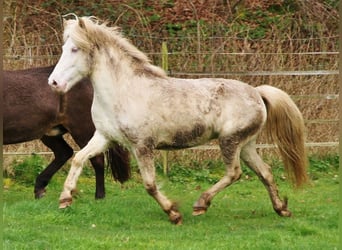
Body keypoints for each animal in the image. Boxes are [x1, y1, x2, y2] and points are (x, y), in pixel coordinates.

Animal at [3, 66, 131, 199]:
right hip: (50, 133)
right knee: (64, 152)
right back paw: (40, 189)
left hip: (82, 129)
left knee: (96, 158)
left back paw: (99, 196)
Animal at [48, 15, 308, 225]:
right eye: (64, 47)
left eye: (75, 49)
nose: (54, 83)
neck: (124, 90)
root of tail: (257, 92)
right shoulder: (105, 137)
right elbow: (79, 159)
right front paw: (65, 198)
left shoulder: (142, 145)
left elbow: (150, 184)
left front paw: (173, 213)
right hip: (246, 145)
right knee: (265, 172)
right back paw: (282, 209)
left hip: (230, 141)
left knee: (234, 173)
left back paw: (201, 204)